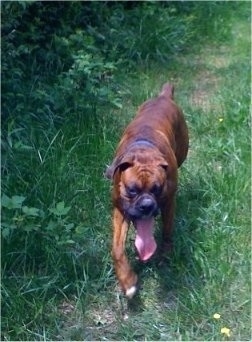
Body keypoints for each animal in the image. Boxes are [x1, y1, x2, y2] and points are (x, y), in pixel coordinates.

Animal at [105, 83, 188, 296]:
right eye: (132, 190)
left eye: (157, 190)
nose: (147, 205)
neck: (144, 153)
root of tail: (163, 96)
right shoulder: (120, 210)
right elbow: (117, 249)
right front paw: (127, 280)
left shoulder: (168, 203)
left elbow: (167, 232)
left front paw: (165, 256)